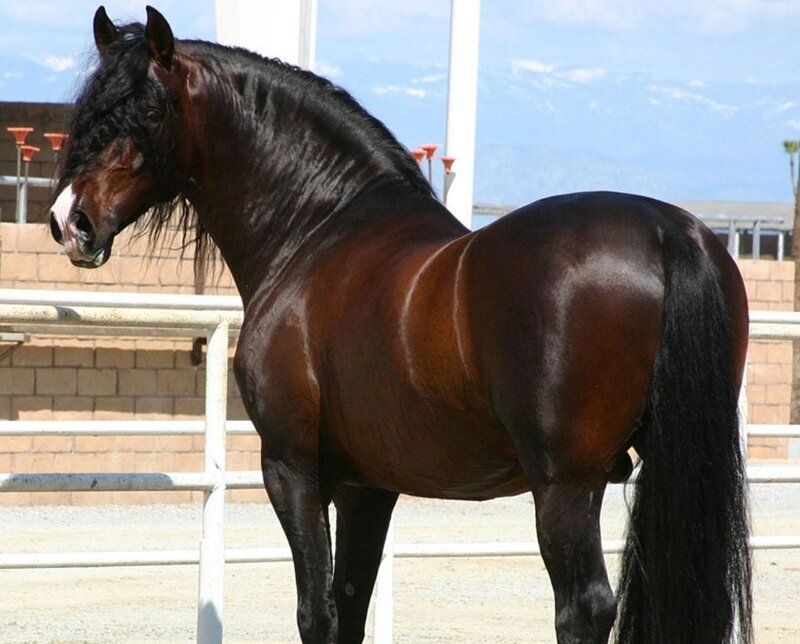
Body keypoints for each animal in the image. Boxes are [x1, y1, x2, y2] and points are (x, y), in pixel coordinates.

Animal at [48, 6, 752, 643]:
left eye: (149, 112)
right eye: (91, 113)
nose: (69, 222)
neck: (319, 227)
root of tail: (665, 230)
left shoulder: (293, 468)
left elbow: (317, 613)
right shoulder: (369, 486)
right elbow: (350, 607)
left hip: (564, 484)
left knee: (583, 609)